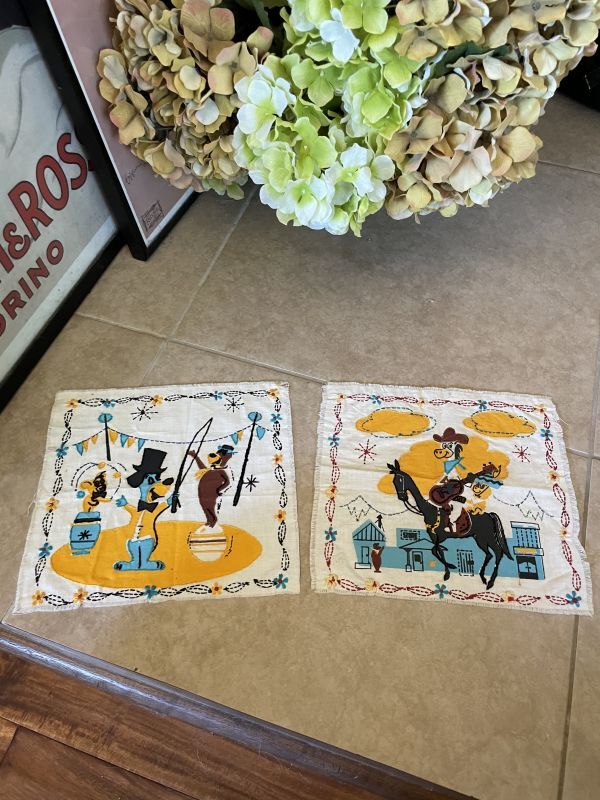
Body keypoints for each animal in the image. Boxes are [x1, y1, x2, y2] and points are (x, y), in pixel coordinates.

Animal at [387, 460, 513, 590]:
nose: (402, 497)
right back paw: (483, 577)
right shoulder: (434, 537)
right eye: (394, 481)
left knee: (498, 553)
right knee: (489, 555)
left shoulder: (441, 536)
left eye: (401, 479)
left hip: (489, 536)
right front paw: (448, 572)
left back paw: (491, 582)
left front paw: (450, 568)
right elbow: (438, 551)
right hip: (480, 538)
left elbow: (434, 550)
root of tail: (490, 515)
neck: (430, 510)